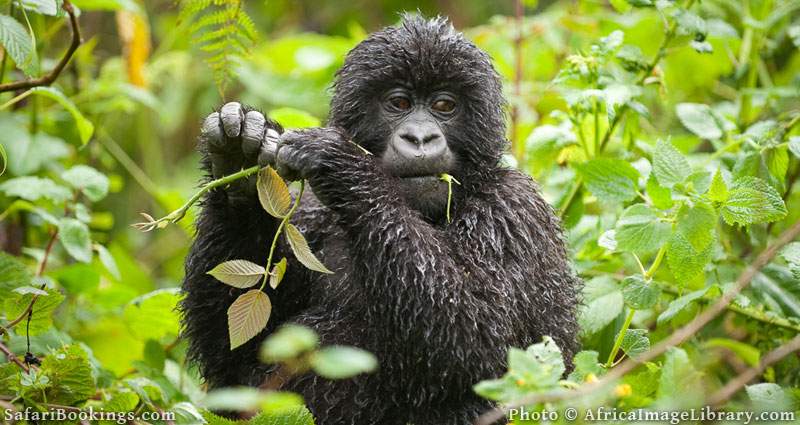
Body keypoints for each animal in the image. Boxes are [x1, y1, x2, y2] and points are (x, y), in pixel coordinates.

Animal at [183, 14, 580, 424]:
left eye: (444, 105)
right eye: (399, 103)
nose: (419, 137)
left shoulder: (516, 211)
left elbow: (484, 341)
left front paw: (342, 162)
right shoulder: (307, 215)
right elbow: (234, 368)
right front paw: (238, 158)